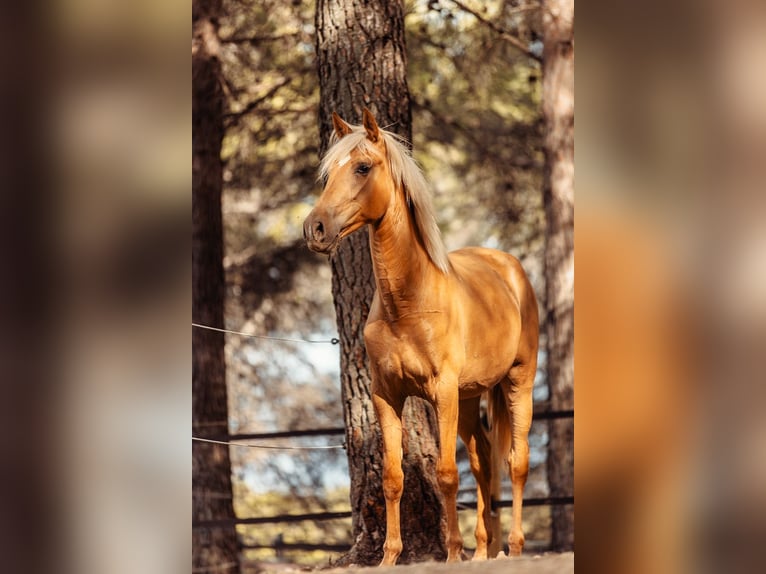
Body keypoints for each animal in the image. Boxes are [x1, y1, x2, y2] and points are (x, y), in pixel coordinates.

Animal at [302, 109, 540, 568]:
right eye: (327, 174)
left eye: (362, 167)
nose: (315, 228)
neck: (408, 302)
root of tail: (509, 266)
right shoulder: (386, 395)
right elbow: (393, 478)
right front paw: (390, 557)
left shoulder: (442, 391)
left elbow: (446, 475)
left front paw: (451, 554)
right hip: (469, 399)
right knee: (484, 462)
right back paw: (483, 551)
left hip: (517, 383)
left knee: (516, 463)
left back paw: (514, 547)